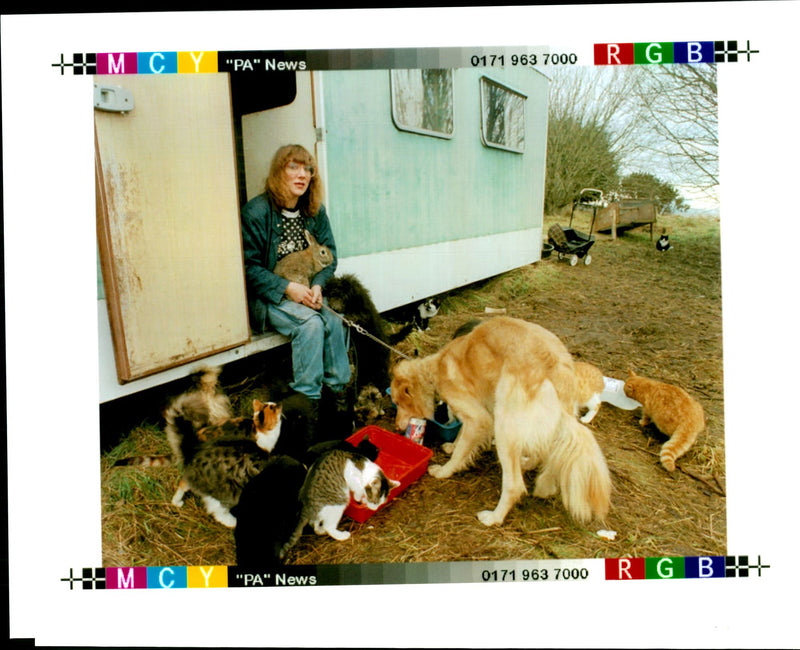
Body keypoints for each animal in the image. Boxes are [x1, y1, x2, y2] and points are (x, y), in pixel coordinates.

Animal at [390, 316, 608, 524]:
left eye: (399, 403)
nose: (397, 427)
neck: (434, 369)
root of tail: (556, 369)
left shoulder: (478, 417)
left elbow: (461, 452)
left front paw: (445, 470)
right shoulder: (480, 412)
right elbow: (461, 438)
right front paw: (452, 445)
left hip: (505, 426)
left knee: (514, 485)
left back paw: (494, 518)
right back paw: (528, 465)